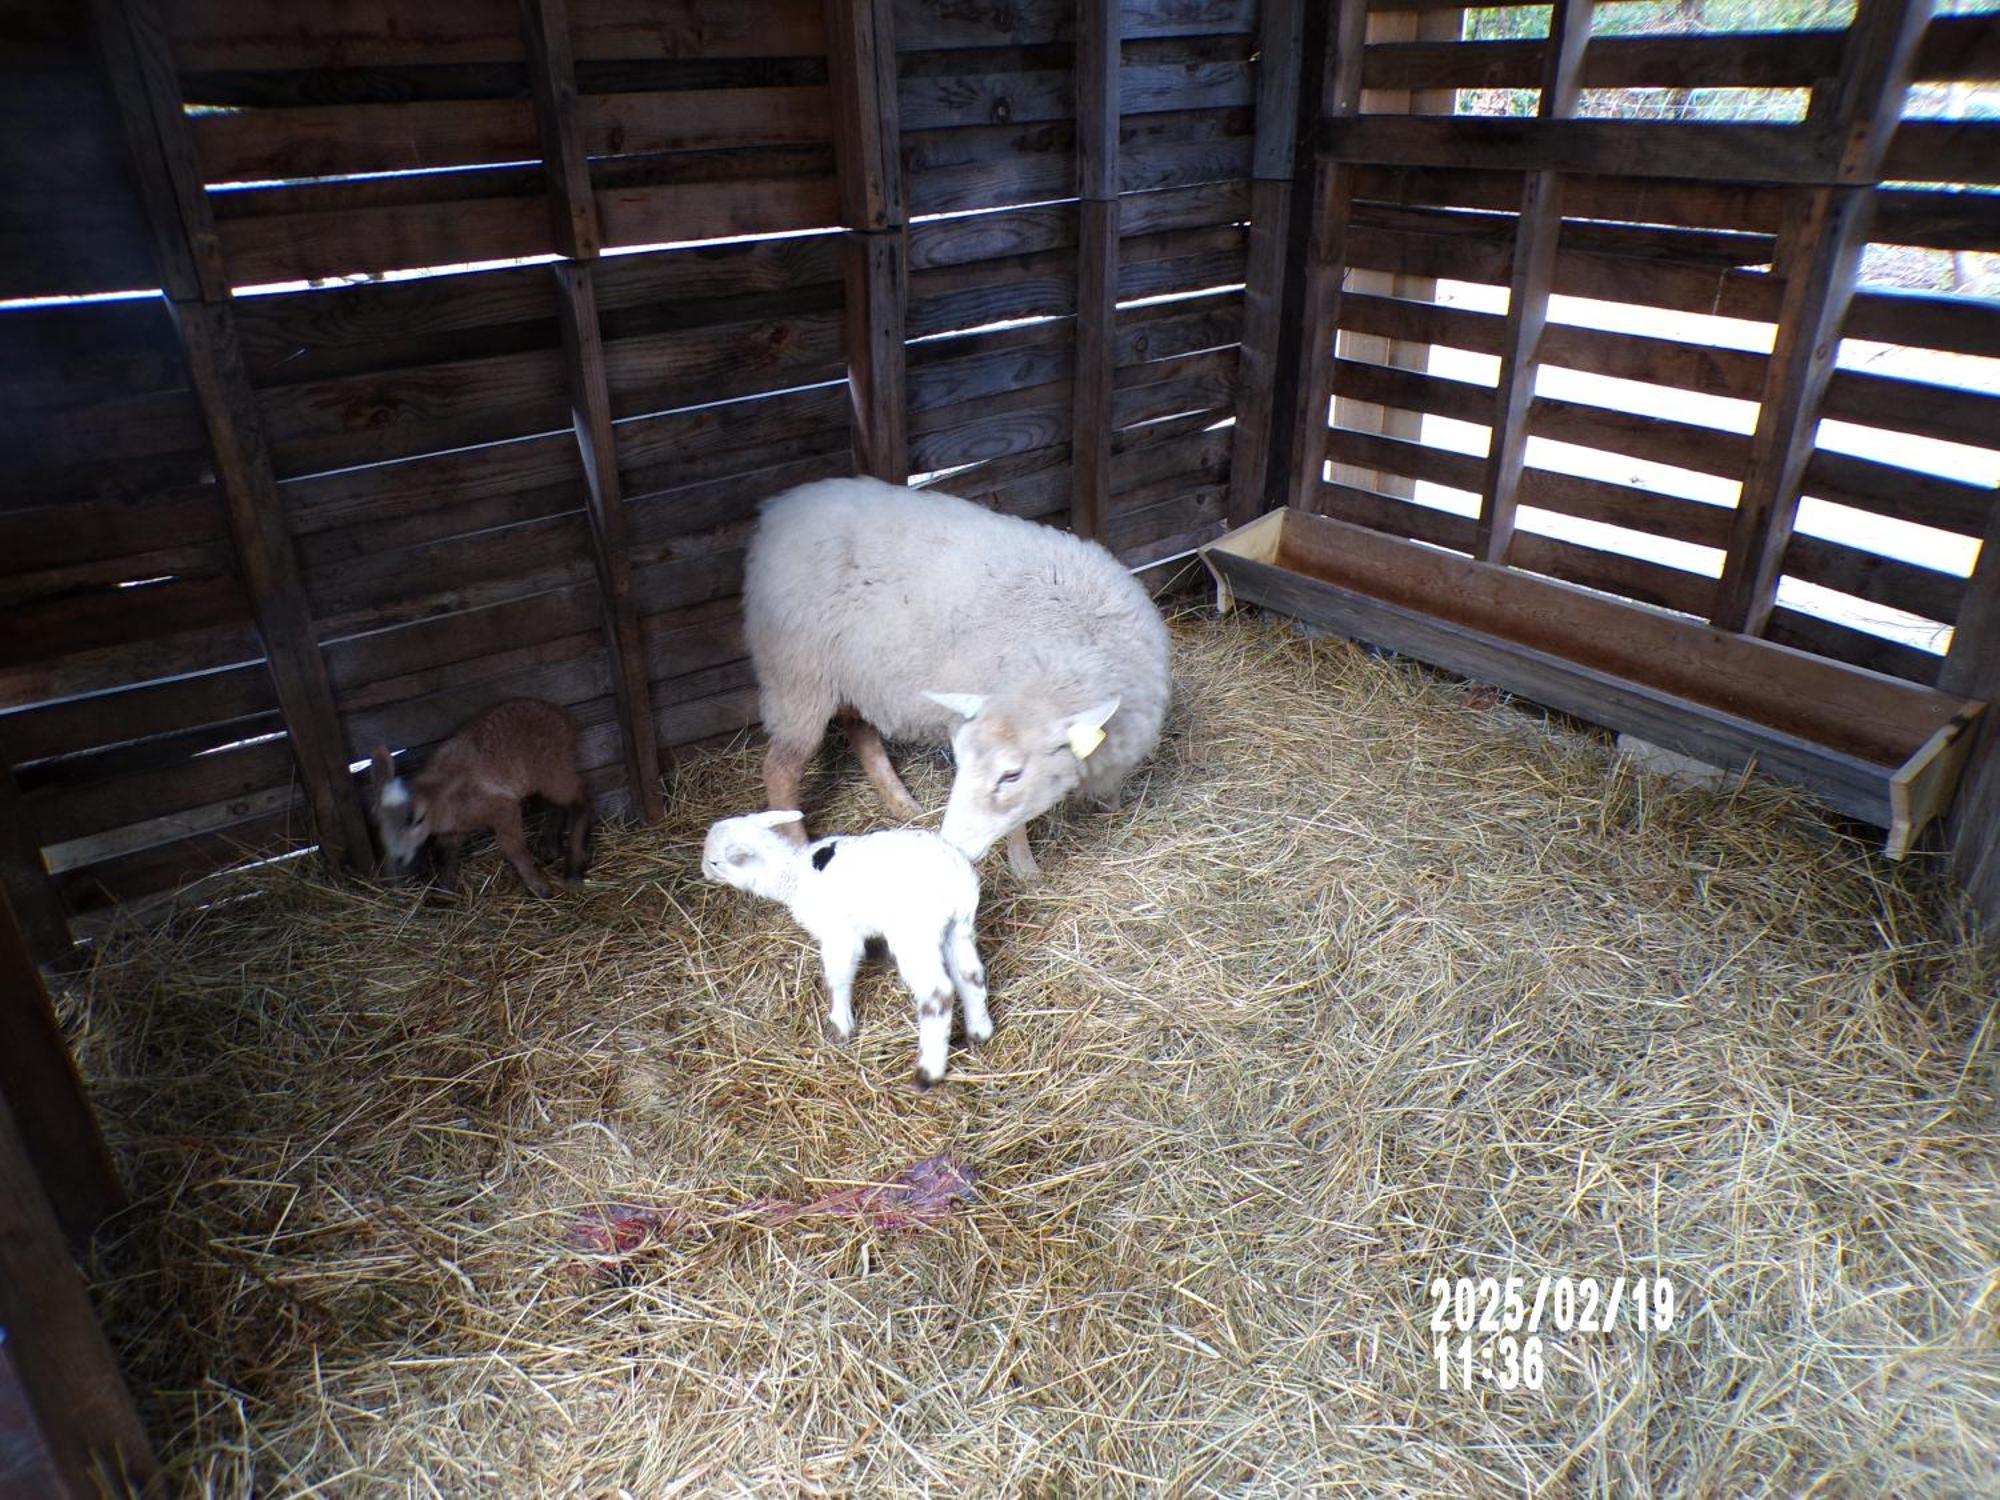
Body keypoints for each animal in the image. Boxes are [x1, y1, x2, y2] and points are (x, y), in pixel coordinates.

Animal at [700, 812, 996, 1096]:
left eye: (715, 862)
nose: (704, 873)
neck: (792, 874)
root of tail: (955, 874)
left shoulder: (838, 936)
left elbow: (837, 978)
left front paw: (841, 1026)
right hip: (959, 925)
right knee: (970, 975)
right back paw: (979, 1031)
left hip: (914, 932)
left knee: (938, 994)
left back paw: (927, 1072)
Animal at [744, 478, 1168, 880]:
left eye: (1012, 774)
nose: (954, 844)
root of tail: (779, 510)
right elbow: (1016, 825)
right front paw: (1025, 869)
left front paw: (1111, 809)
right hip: (797, 675)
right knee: (779, 768)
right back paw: (797, 847)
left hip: (853, 672)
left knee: (860, 731)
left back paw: (903, 804)